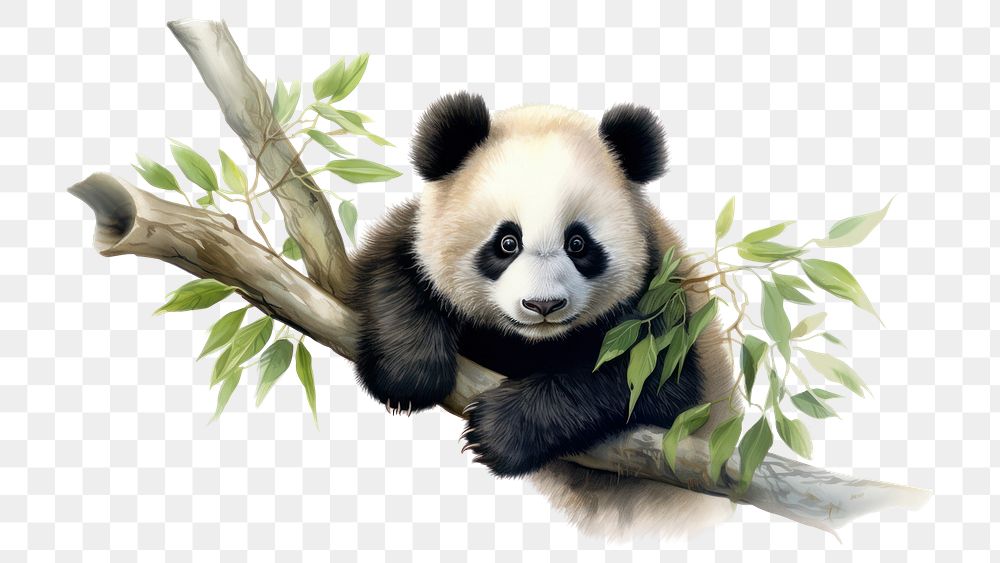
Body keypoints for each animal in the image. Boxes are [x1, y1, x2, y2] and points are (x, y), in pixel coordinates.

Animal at [347, 92, 739, 538]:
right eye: (507, 242)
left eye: (578, 243)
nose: (543, 306)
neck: (533, 344)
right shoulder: (415, 239)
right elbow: (385, 266)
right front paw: (409, 377)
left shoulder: (660, 300)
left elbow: (652, 382)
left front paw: (497, 429)